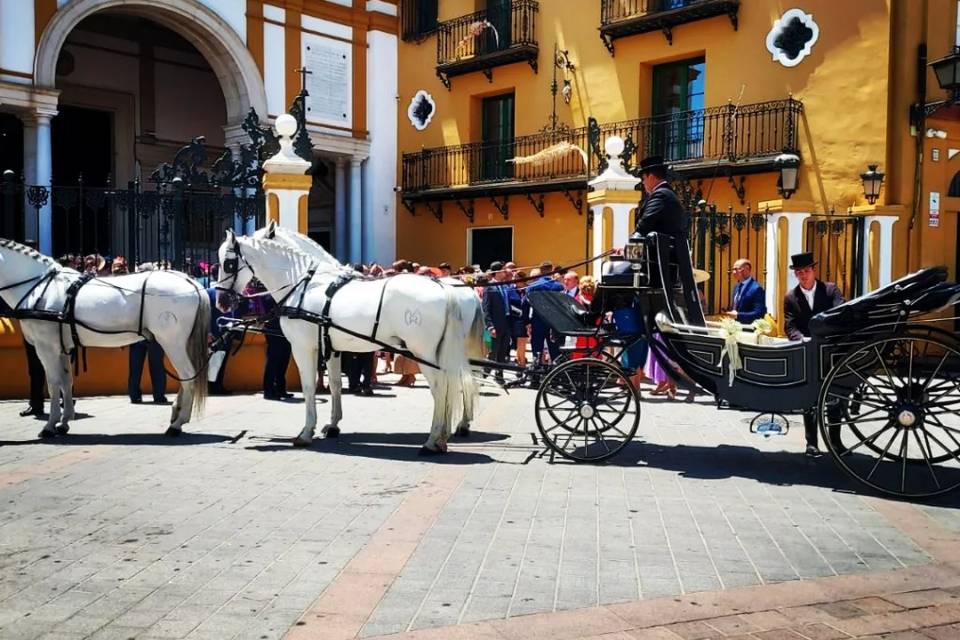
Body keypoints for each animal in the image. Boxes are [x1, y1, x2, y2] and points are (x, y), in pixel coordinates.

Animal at [0, 238, 209, 438]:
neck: (41, 288)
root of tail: (191, 282)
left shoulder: (46, 348)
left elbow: (53, 384)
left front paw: (50, 426)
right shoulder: (62, 348)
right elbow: (66, 382)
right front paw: (64, 422)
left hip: (172, 343)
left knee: (187, 377)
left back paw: (177, 424)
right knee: (187, 377)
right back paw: (177, 414)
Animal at [212, 230, 478, 450]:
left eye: (228, 263)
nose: (221, 302)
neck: (304, 284)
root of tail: (445, 288)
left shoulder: (303, 348)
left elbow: (309, 388)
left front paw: (306, 432)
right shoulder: (332, 348)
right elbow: (336, 385)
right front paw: (332, 426)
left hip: (423, 353)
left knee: (442, 387)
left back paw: (434, 440)